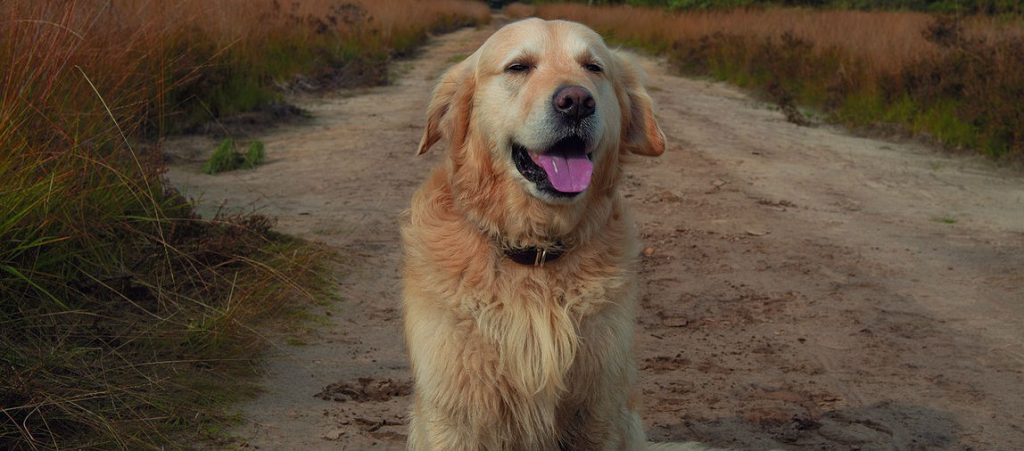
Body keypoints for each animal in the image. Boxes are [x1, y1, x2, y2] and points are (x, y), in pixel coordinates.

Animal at [399, 18, 696, 451]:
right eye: (518, 67)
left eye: (593, 67)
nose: (576, 101)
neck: (534, 253)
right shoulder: (453, 415)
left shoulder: (596, 412)